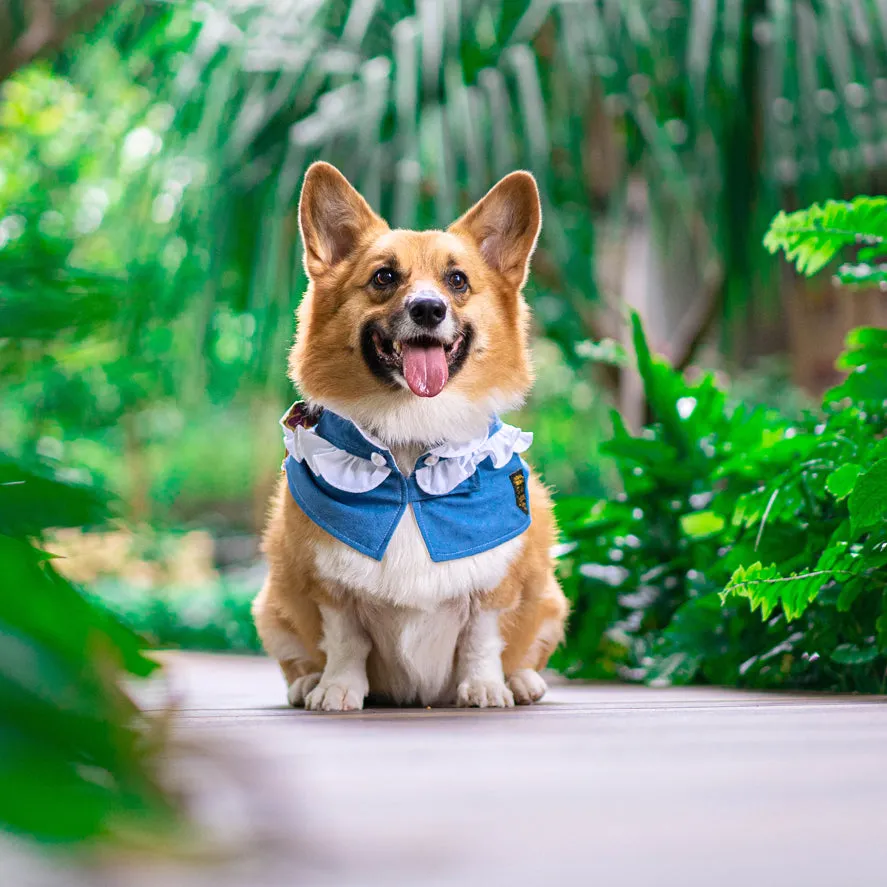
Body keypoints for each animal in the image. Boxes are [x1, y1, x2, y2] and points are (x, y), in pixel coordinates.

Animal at [251, 163, 568, 712]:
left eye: (457, 280)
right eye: (384, 277)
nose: (427, 310)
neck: (409, 450)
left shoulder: (496, 584)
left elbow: (483, 638)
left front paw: (486, 687)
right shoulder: (329, 585)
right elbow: (345, 640)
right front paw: (337, 689)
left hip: (551, 601)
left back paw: (522, 681)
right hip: (271, 607)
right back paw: (308, 683)